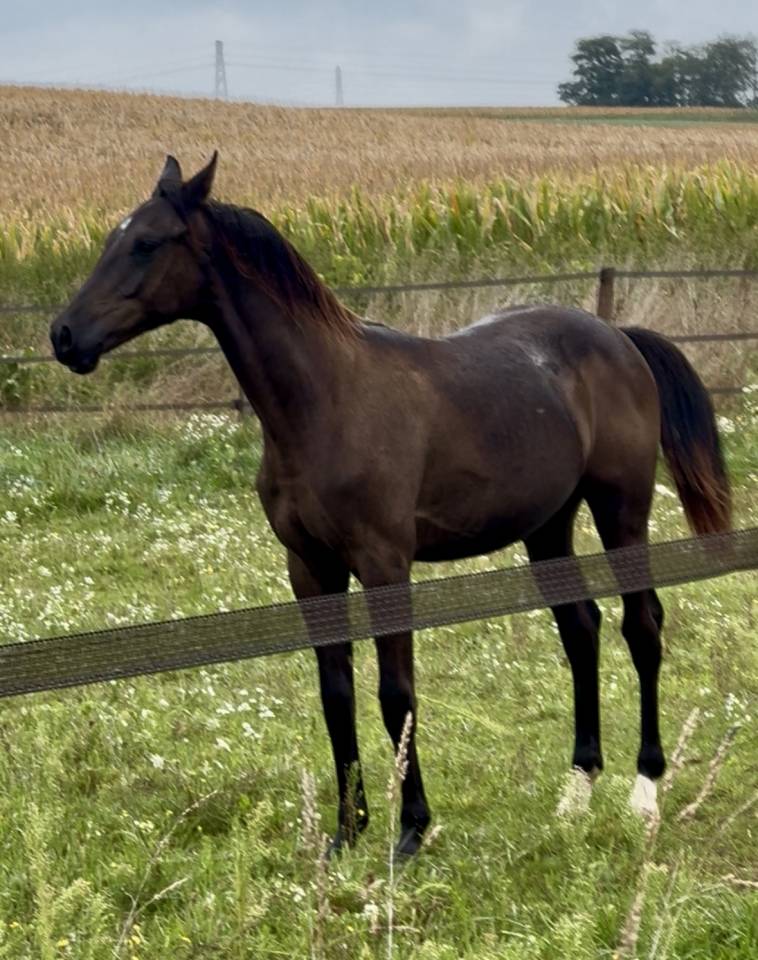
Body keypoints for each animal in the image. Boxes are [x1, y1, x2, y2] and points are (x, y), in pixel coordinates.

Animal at [50, 154, 731, 859]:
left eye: (147, 243)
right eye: (111, 238)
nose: (64, 336)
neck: (325, 400)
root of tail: (617, 338)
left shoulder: (384, 563)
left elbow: (395, 694)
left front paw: (411, 828)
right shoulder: (310, 567)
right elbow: (336, 694)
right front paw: (348, 829)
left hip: (621, 510)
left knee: (641, 626)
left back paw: (644, 793)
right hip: (548, 526)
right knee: (581, 629)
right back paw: (576, 792)